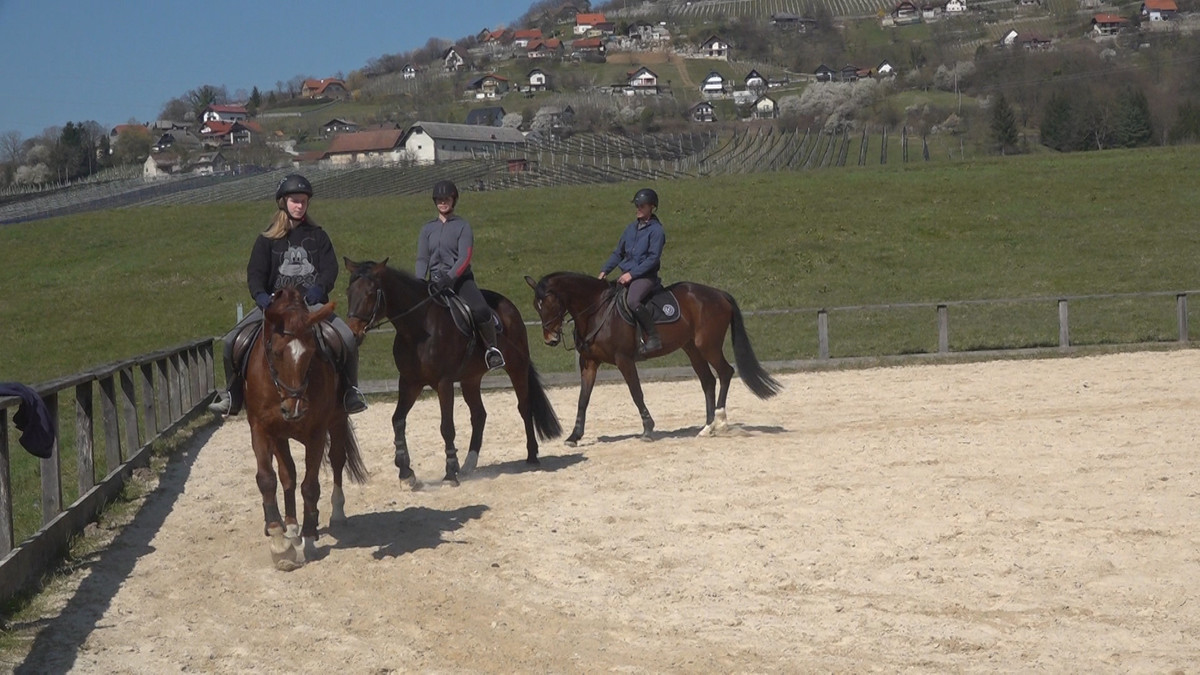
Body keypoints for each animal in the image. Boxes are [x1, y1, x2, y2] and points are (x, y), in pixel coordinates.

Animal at [241, 283, 367, 566]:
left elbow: (310, 487)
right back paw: (290, 526)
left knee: (337, 460)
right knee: (287, 475)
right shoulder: (263, 429)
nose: (295, 408)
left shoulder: (317, 433)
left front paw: (309, 540)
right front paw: (280, 541)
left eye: (311, 353)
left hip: (337, 420)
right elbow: (269, 479)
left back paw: (335, 513)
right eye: (276, 352)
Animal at [340, 255, 559, 482]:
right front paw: (405, 470)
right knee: (479, 414)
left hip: (517, 367)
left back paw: (531, 456)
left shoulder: (443, 383)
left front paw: (450, 471)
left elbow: (446, 427)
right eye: (349, 292)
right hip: (471, 378)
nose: (353, 332)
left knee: (524, 407)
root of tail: (508, 304)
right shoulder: (409, 382)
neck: (419, 329)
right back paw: (469, 464)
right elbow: (398, 420)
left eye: (369, 294)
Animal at [523, 270, 782, 444]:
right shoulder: (589, 363)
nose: (550, 339)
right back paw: (707, 427)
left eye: (549, 303)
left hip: (707, 345)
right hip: (691, 348)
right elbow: (583, 399)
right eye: (536, 306)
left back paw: (720, 420)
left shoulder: (624, 360)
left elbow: (636, 393)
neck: (596, 311)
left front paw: (648, 429)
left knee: (726, 372)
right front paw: (574, 436)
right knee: (708, 380)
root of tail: (719, 294)